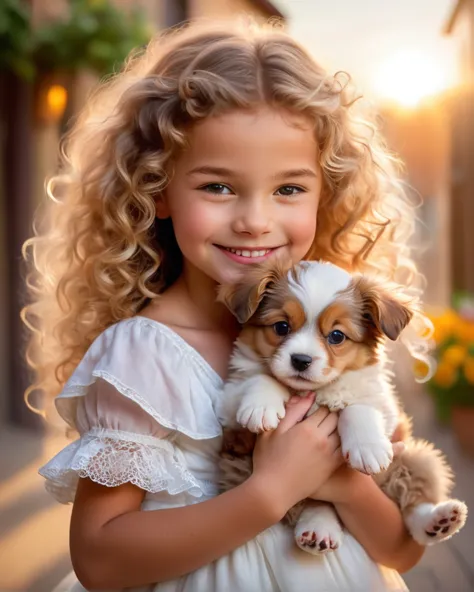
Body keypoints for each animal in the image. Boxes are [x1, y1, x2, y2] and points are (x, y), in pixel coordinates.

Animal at [217, 260, 468, 556]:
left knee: (412, 504)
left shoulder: (384, 405)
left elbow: (357, 408)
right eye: (281, 327)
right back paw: (317, 531)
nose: (300, 360)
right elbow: (263, 377)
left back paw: (439, 520)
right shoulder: (229, 402)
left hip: (416, 457)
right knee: (317, 505)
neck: (313, 392)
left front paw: (367, 448)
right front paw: (261, 406)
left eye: (337, 336)